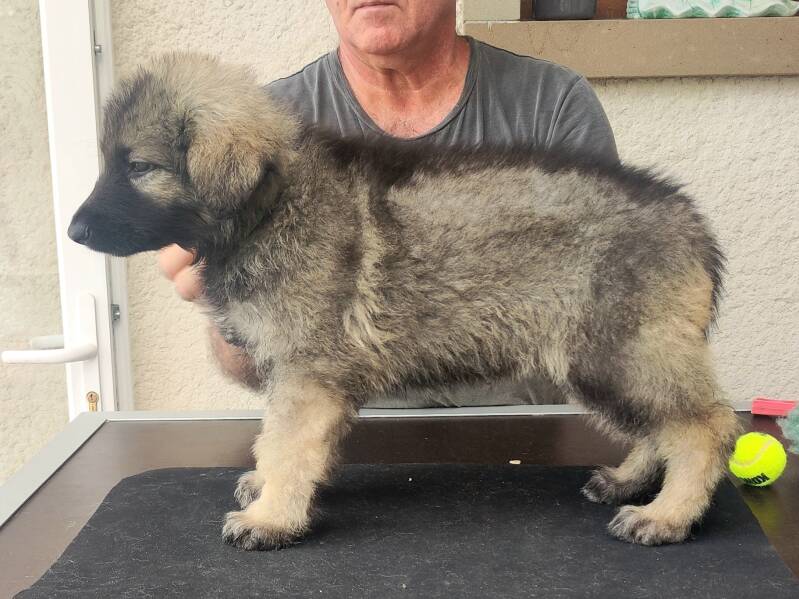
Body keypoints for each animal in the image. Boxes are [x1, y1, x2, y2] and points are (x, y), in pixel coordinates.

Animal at [69, 53, 739, 550]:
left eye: (139, 166)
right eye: (109, 162)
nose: (74, 233)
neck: (271, 202)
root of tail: (692, 223)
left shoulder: (307, 372)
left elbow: (285, 443)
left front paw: (271, 517)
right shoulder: (302, 374)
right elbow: (277, 440)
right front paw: (268, 490)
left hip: (616, 348)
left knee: (702, 425)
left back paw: (667, 514)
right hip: (606, 359)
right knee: (659, 426)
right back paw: (628, 481)